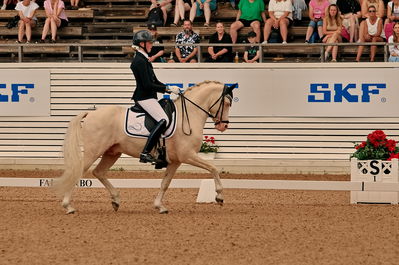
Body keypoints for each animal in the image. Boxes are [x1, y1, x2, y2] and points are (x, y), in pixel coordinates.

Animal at [56, 80, 238, 212]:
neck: (190, 115)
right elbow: (213, 168)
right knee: (80, 172)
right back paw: (68, 206)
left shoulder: (176, 161)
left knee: (98, 172)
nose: (223, 126)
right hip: (94, 151)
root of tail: (91, 113)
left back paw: (116, 200)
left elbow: (165, 183)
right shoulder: (188, 155)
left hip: (111, 152)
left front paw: (160, 206)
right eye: (227, 103)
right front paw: (219, 196)